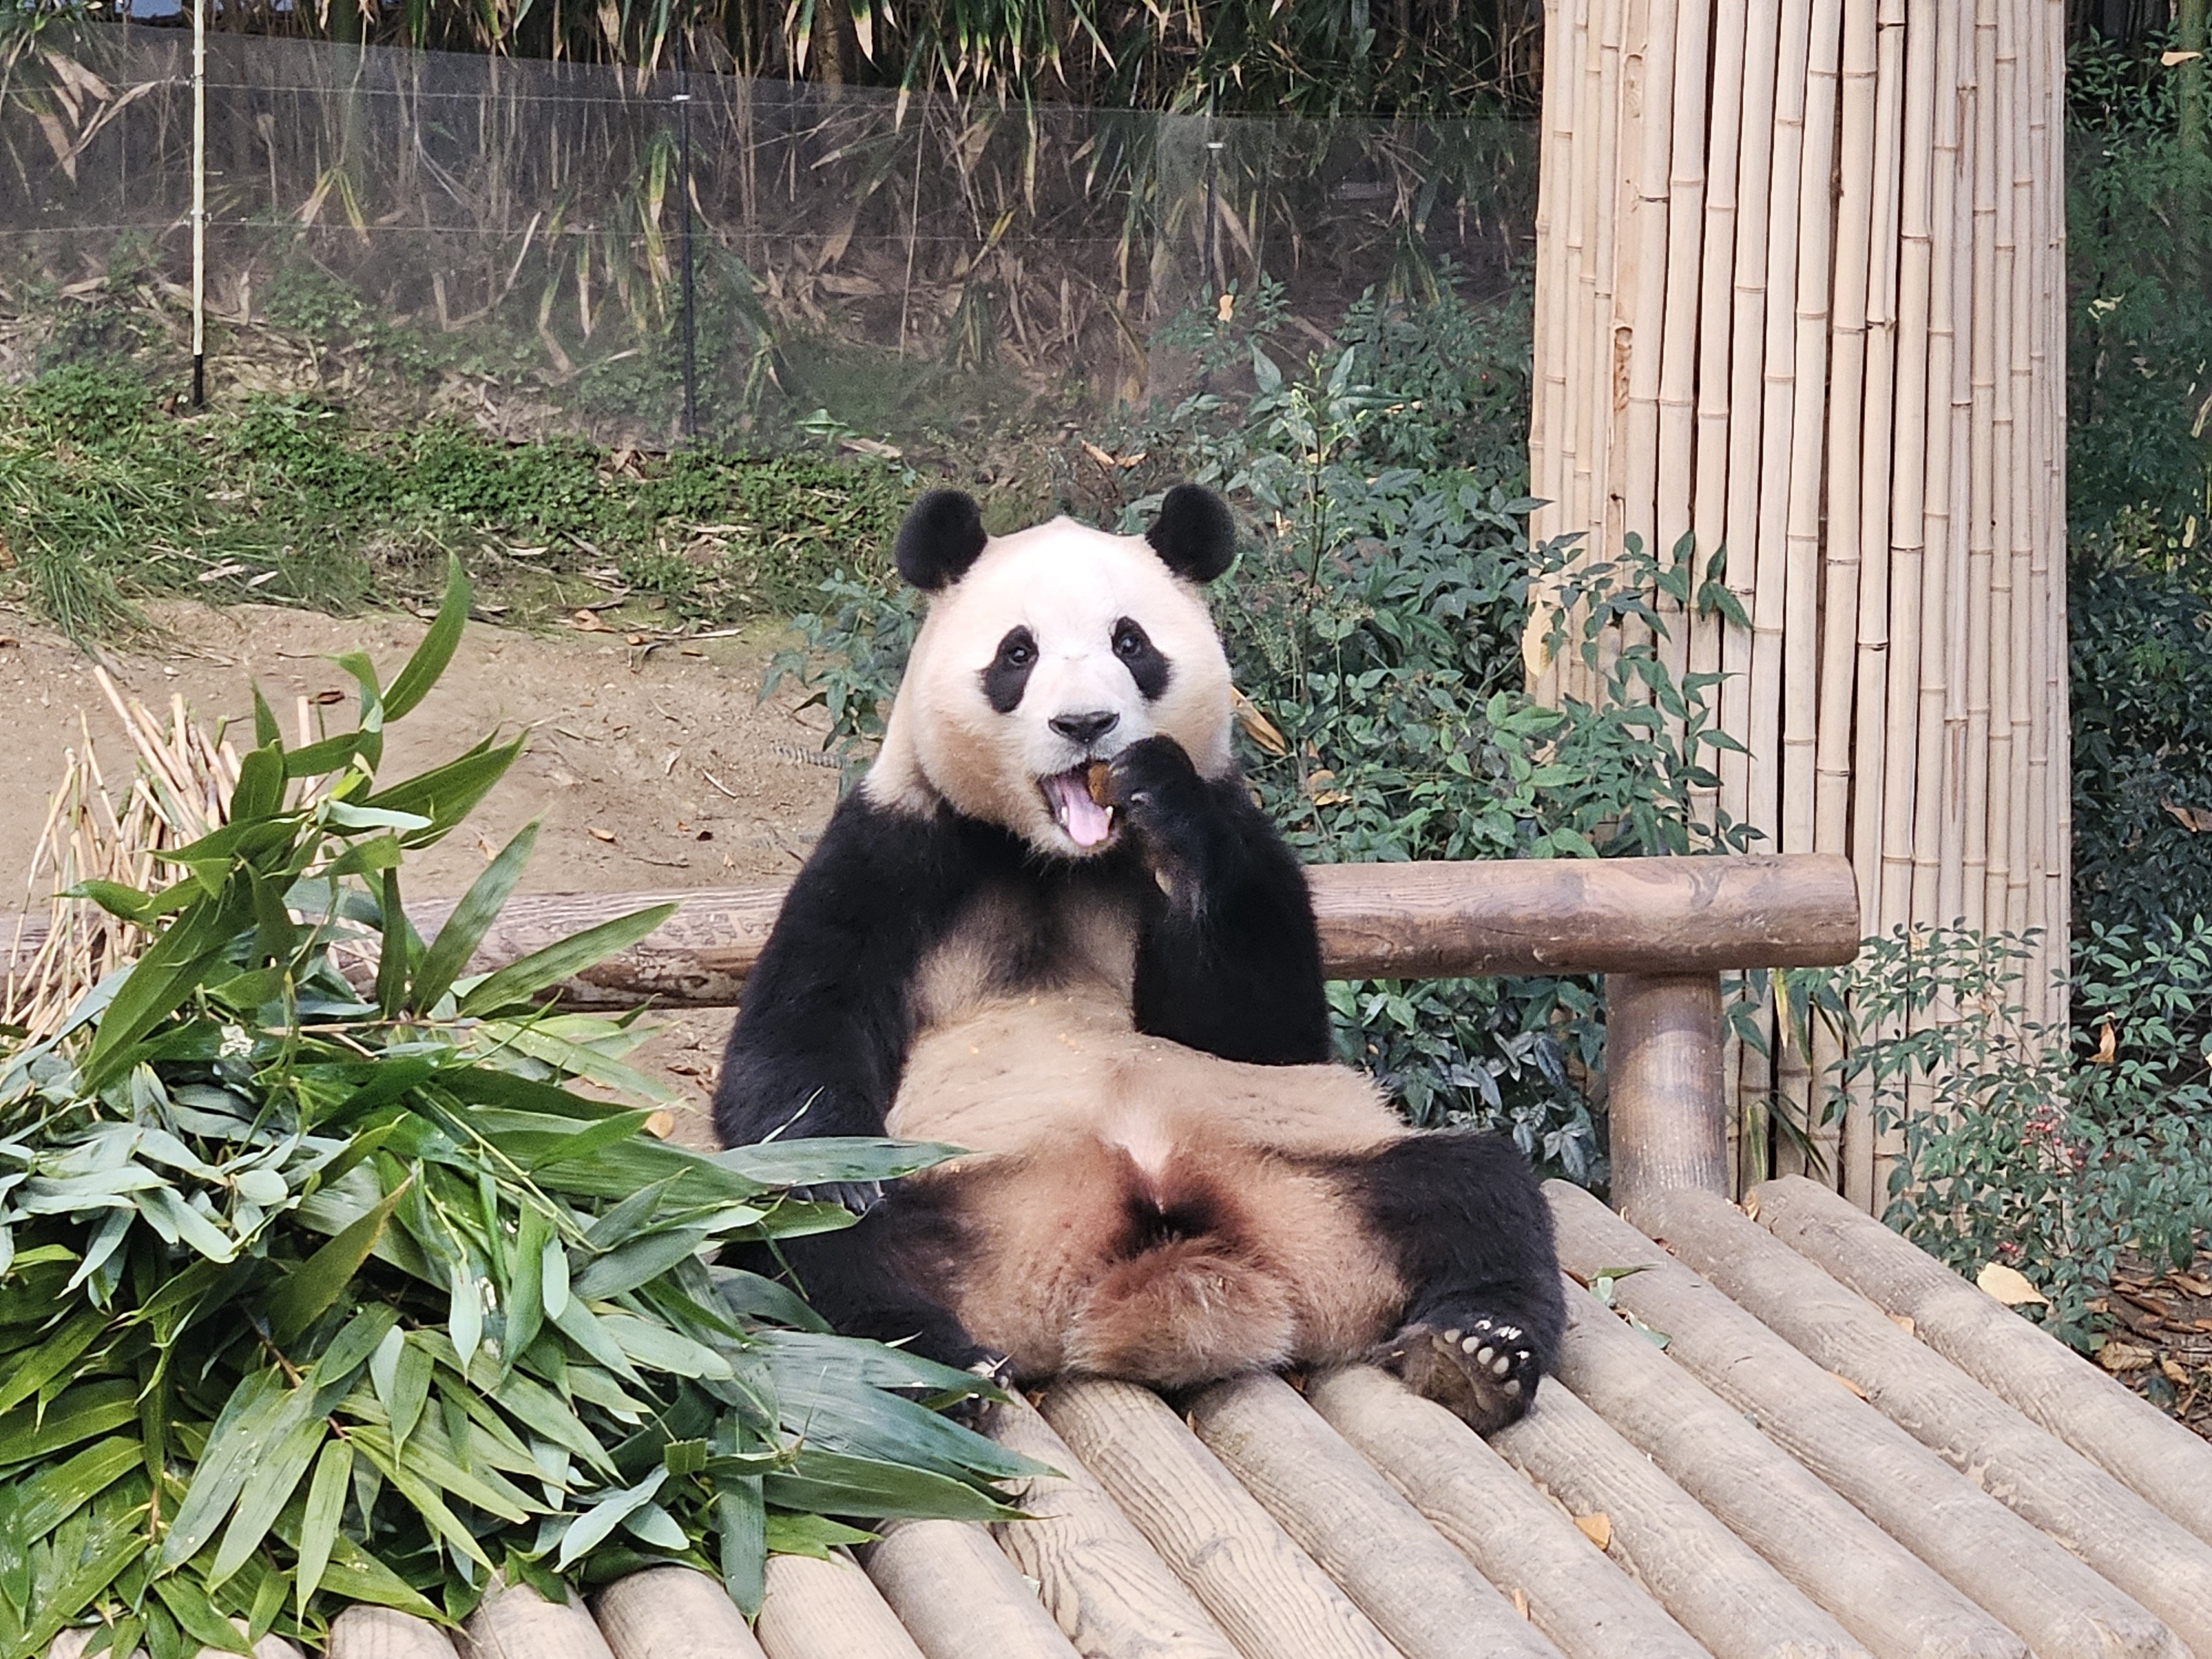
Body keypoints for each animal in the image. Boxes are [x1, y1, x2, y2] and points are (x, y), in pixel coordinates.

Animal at [712, 483, 1565, 1433]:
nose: (1086, 724)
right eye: (1018, 653)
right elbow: (803, 1023)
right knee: (795, 1245)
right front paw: (832, 1170)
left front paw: (1159, 794)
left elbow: (1264, 1030)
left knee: (1481, 1186)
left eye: (1132, 644)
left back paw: (1477, 1350)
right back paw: (930, 1368)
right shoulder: (898, 843)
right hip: (964, 1195)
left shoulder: (1240, 831)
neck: (1059, 856)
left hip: (1316, 1176)